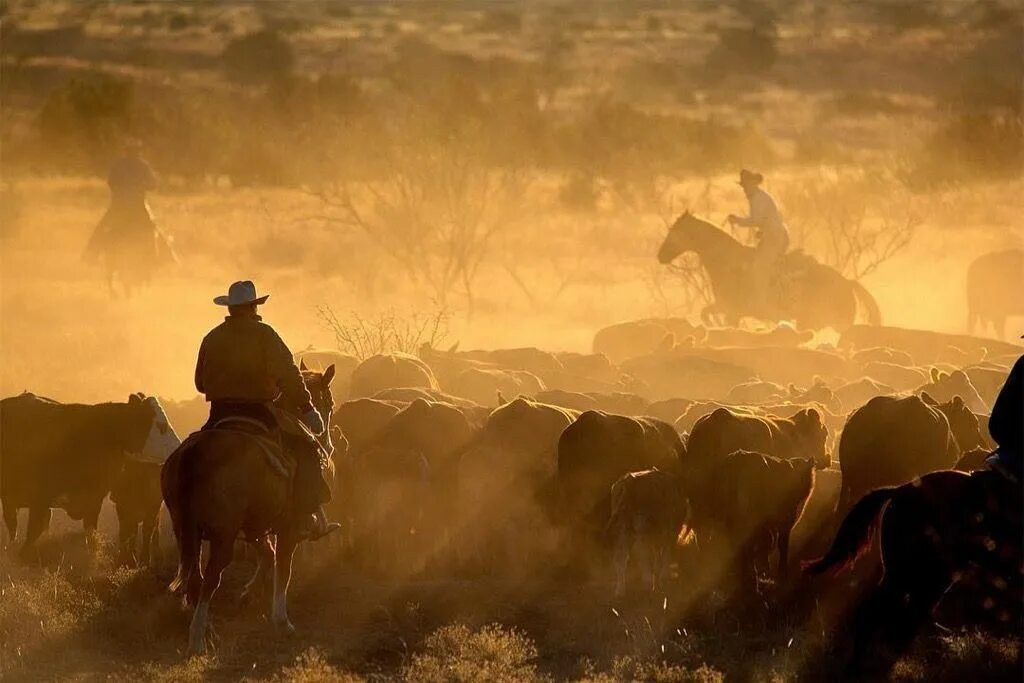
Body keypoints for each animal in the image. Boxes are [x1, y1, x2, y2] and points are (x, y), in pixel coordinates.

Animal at [0, 393, 179, 565]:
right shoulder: (40, 498)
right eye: (161, 426)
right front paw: (23, 558)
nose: (178, 447)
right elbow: (32, 531)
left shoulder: (94, 500)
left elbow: (90, 534)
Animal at [160, 366, 335, 655]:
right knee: (210, 578)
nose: (329, 446)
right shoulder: (287, 528)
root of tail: (194, 453)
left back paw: (205, 629)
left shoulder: (254, 525)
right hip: (222, 534)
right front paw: (281, 620)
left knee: (195, 577)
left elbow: (267, 553)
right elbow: (282, 568)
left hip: (185, 531)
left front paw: (249, 593)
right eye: (329, 404)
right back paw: (197, 638)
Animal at [655, 214, 880, 331]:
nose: (660, 256)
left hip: (833, 322)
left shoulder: (733, 311)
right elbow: (705, 311)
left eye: (674, 232)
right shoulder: (725, 308)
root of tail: (847, 282)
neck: (728, 263)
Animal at [802, 471, 1019, 671]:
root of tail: (899, 490)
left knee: (909, 614)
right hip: (908, 573)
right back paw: (858, 665)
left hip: (931, 576)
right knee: (877, 611)